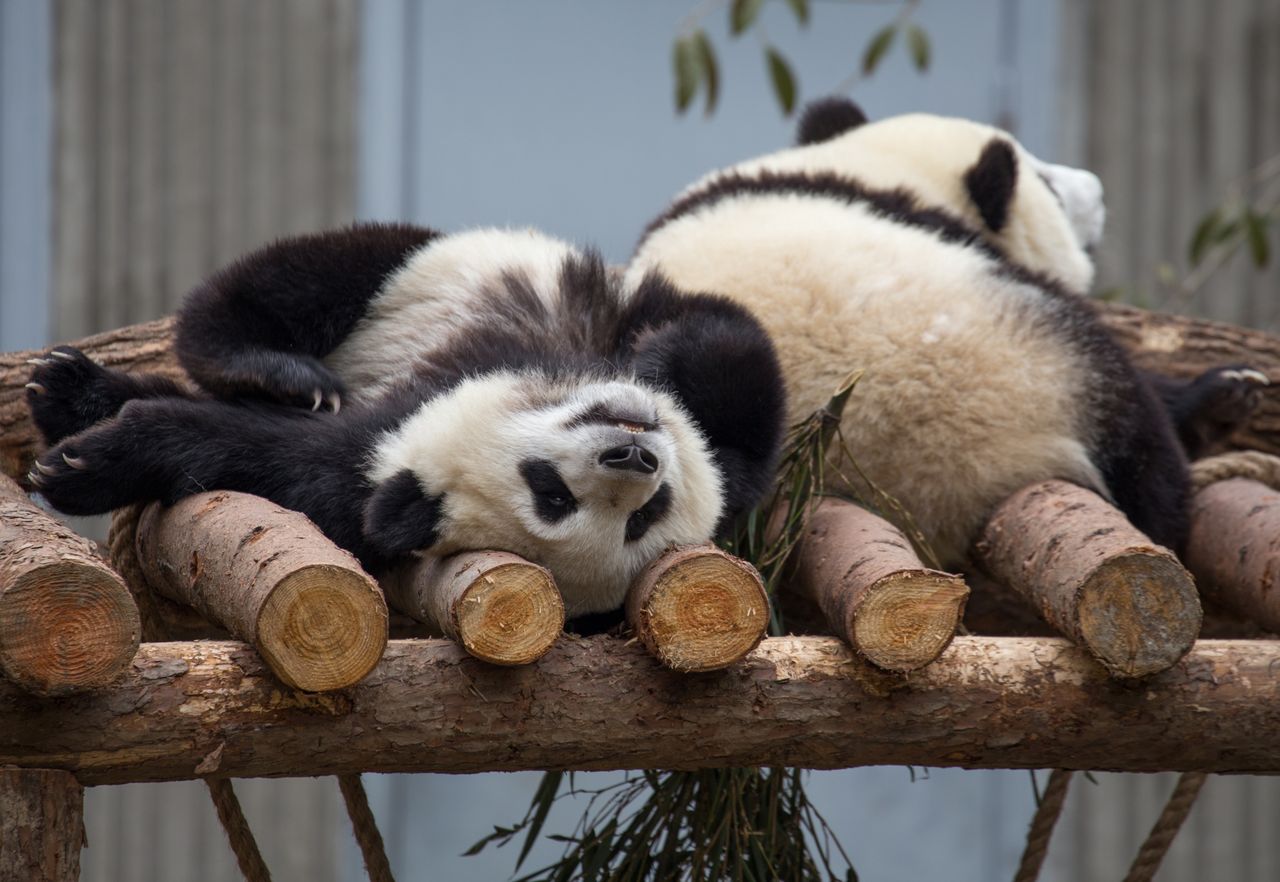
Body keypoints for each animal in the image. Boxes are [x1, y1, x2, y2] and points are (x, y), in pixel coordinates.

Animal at [27, 225, 788, 619]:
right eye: (550, 491)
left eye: (640, 519)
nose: (636, 457)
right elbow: (733, 358)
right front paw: (653, 363)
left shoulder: (356, 478)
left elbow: (257, 451)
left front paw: (91, 463)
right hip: (423, 272)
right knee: (299, 282)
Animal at [624, 99, 1264, 568]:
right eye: (1049, 186)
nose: (1096, 189)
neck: (876, 166)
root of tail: (1013, 457)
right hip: (1064, 354)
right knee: (1147, 453)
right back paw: (1211, 405)